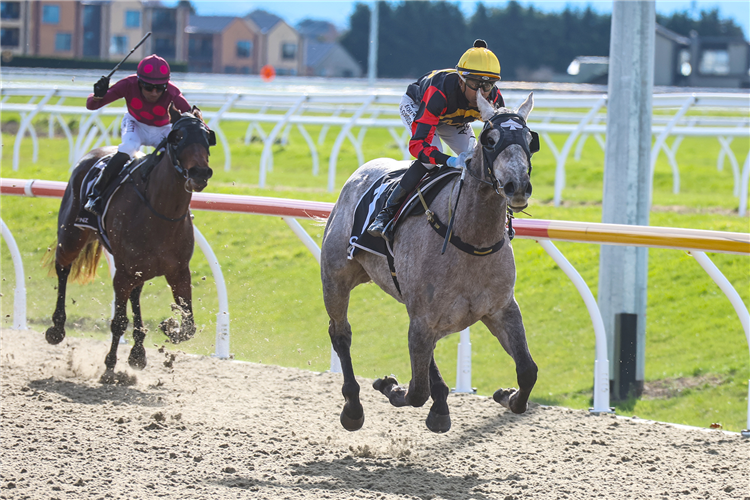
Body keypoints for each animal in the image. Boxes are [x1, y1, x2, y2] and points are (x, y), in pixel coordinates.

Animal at [45, 103, 214, 380]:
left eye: (207, 137)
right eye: (177, 138)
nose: (199, 173)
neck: (160, 210)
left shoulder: (178, 271)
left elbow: (189, 325)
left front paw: (169, 328)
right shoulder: (123, 272)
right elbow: (118, 321)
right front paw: (109, 366)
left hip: (139, 268)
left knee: (136, 294)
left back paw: (138, 353)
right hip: (72, 236)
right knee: (63, 267)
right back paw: (57, 328)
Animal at [320, 92, 536, 432]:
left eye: (530, 139)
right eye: (490, 140)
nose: (518, 186)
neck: (471, 240)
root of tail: (360, 173)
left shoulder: (501, 308)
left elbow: (528, 371)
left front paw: (506, 395)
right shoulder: (423, 320)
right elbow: (416, 391)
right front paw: (390, 386)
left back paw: (441, 406)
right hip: (335, 278)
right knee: (341, 334)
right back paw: (353, 408)